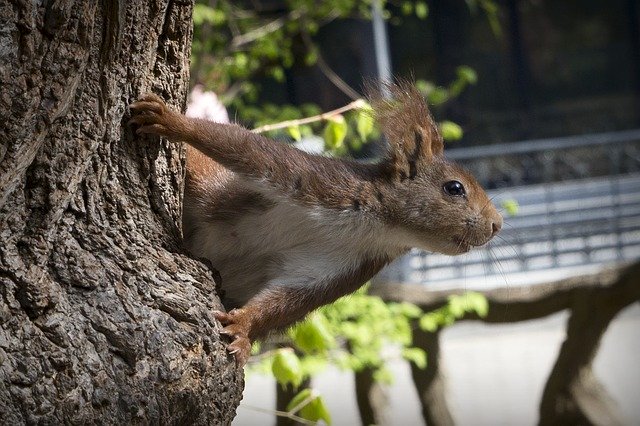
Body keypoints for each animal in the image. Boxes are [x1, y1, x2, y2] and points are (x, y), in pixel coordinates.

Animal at [129, 82, 500, 366]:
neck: (378, 227)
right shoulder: (319, 182)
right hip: (208, 184)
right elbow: (246, 148)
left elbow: (286, 299)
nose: (497, 225)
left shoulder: (341, 267)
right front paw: (172, 121)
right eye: (454, 188)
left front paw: (244, 328)